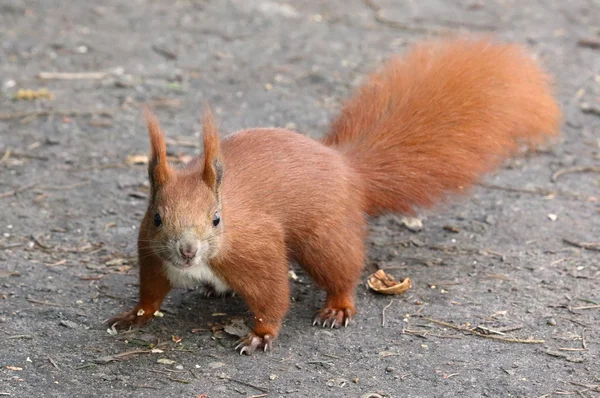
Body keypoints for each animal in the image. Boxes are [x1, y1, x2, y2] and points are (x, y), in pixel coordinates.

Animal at [105, 36, 560, 354]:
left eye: (217, 218)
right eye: (157, 217)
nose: (186, 251)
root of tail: (347, 169)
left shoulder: (257, 249)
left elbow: (272, 297)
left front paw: (259, 335)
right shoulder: (151, 255)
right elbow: (150, 293)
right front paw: (133, 316)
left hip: (325, 237)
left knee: (342, 269)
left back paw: (337, 306)